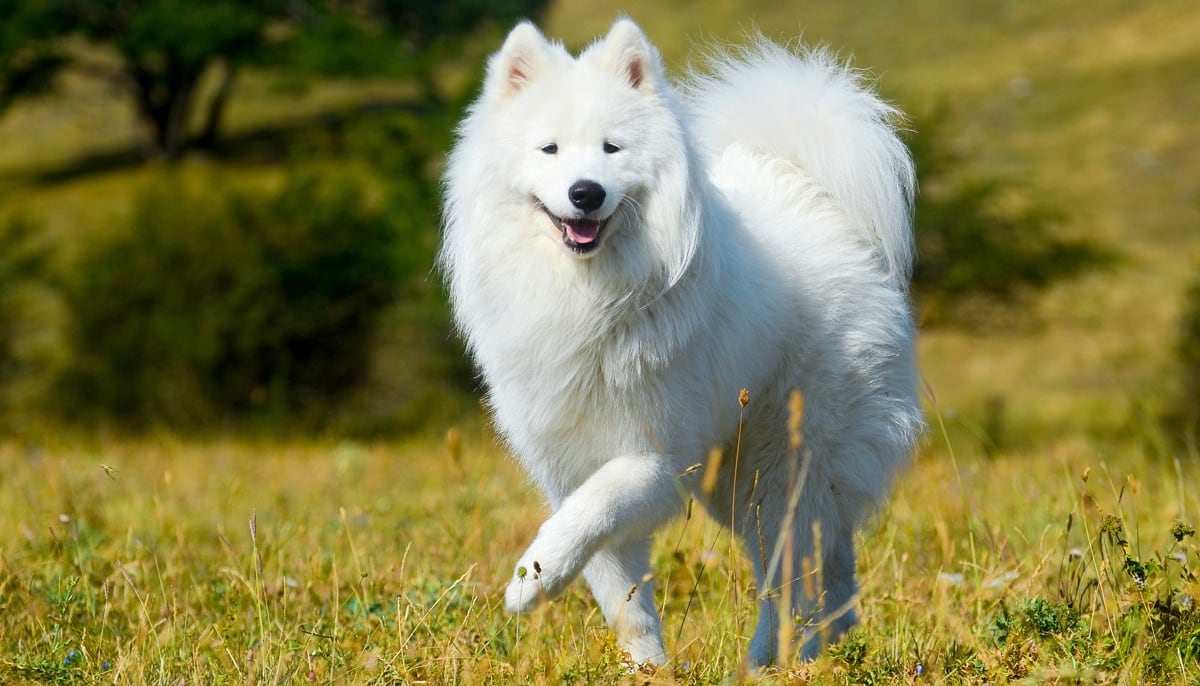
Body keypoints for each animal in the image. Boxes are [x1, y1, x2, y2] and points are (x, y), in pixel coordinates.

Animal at [439, 18, 916, 666]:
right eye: (550, 149)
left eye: (612, 149)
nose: (585, 192)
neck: (589, 296)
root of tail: (813, 195)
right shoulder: (568, 460)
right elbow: (620, 592)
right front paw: (645, 667)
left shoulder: (656, 457)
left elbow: (592, 511)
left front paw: (531, 580)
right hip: (745, 480)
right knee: (828, 560)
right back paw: (828, 643)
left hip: (779, 467)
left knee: (790, 573)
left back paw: (769, 661)